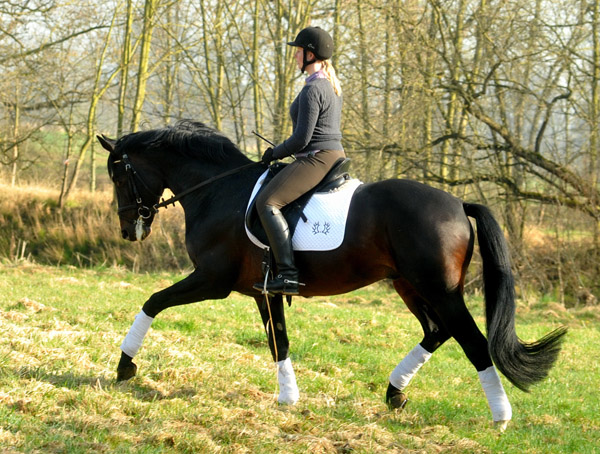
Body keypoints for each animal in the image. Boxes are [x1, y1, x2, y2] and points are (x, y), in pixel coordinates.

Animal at [96, 119, 564, 430]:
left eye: (117, 174)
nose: (129, 230)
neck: (218, 191)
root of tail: (456, 203)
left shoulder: (212, 281)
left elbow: (153, 301)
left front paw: (124, 367)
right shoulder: (262, 291)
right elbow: (278, 341)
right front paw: (288, 397)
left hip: (439, 288)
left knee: (473, 342)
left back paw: (500, 418)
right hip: (408, 284)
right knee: (436, 331)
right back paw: (395, 393)